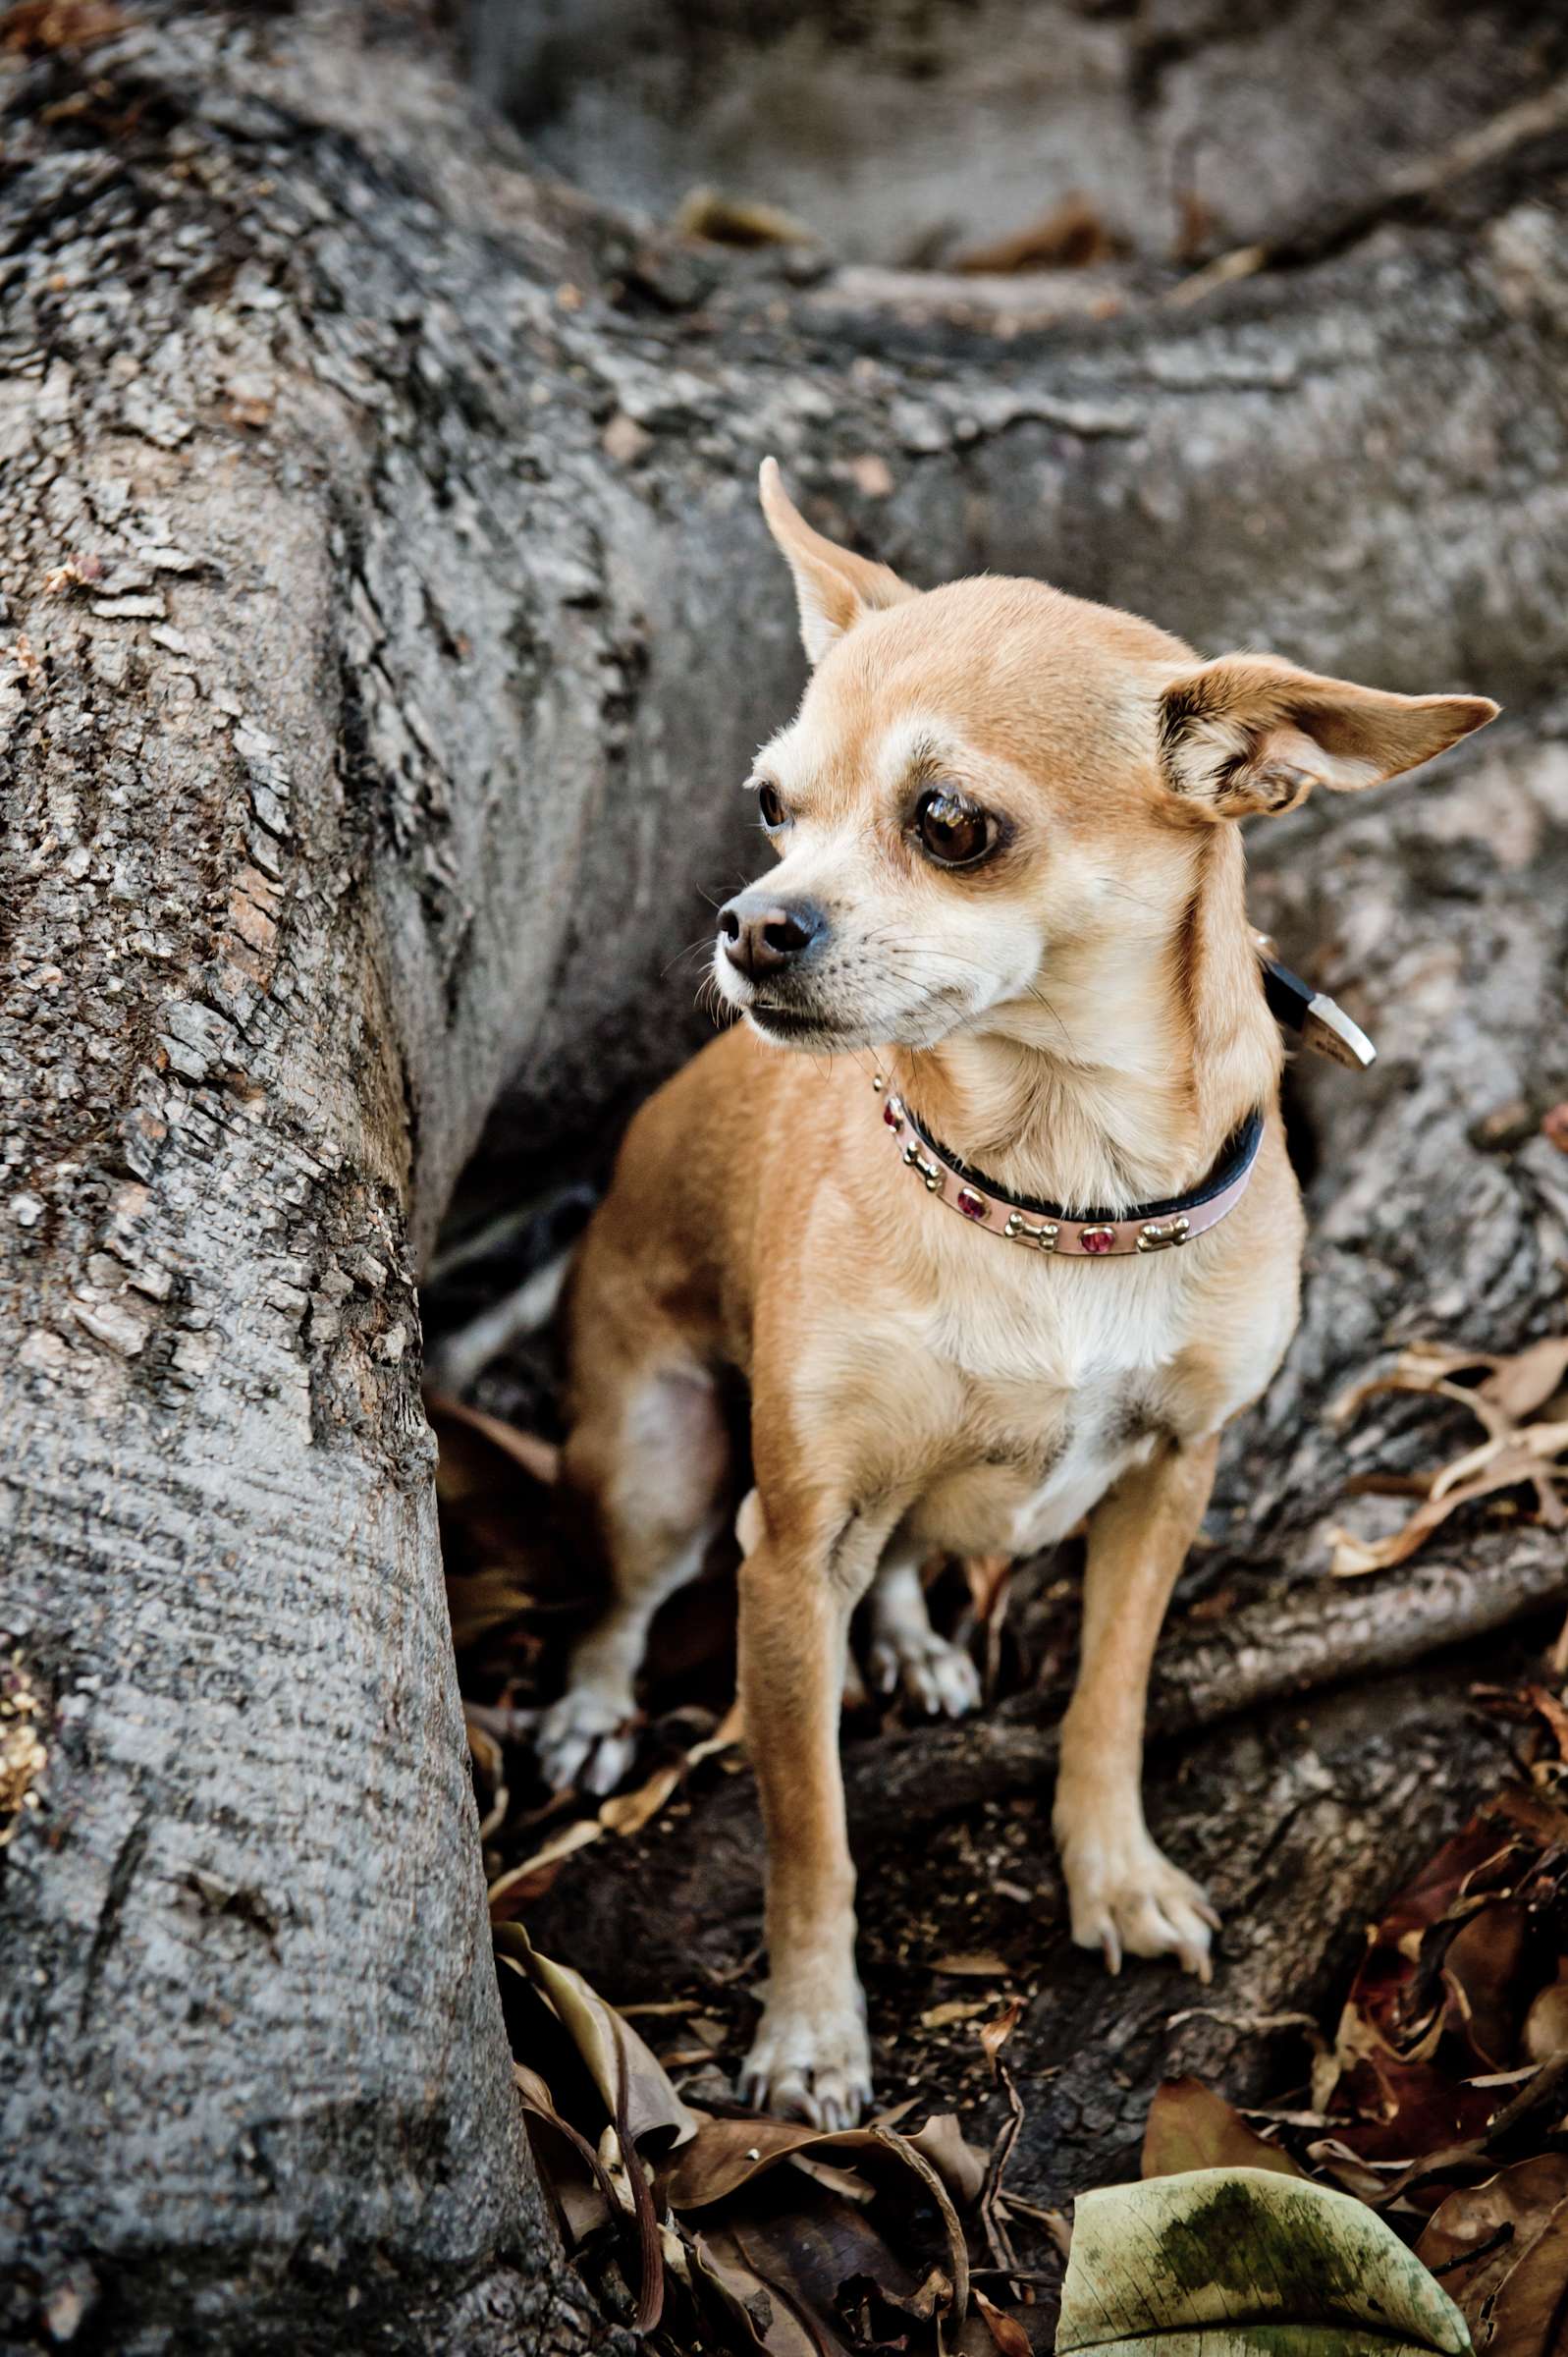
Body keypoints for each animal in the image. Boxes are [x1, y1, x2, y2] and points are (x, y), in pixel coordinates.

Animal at [535, 464, 1489, 2140]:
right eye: (771, 807)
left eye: (950, 824)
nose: (751, 922)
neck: (1058, 1183)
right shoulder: (787, 1549)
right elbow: (807, 1826)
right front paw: (810, 2034)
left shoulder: (1173, 1474)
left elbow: (1108, 1698)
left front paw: (1115, 1879)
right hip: (658, 1465)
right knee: (628, 1597)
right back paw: (596, 1706)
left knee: (913, 1560)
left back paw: (915, 1642)